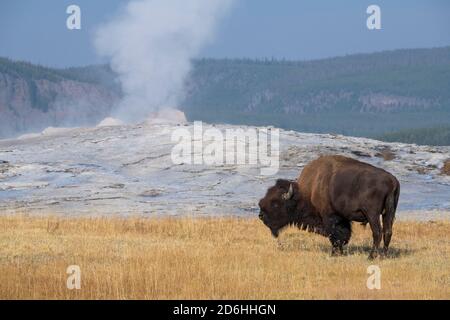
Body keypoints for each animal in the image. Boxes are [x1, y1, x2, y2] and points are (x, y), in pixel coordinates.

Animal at [258, 156, 400, 260]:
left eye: (275, 203)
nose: (261, 216)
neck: (308, 191)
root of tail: (392, 181)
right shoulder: (342, 218)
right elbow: (344, 235)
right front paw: (340, 252)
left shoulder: (329, 217)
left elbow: (335, 235)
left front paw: (334, 253)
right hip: (388, 213)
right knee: (388, 231)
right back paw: (384, 255)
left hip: (372, 214)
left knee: (377, 232)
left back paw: (371, 256)